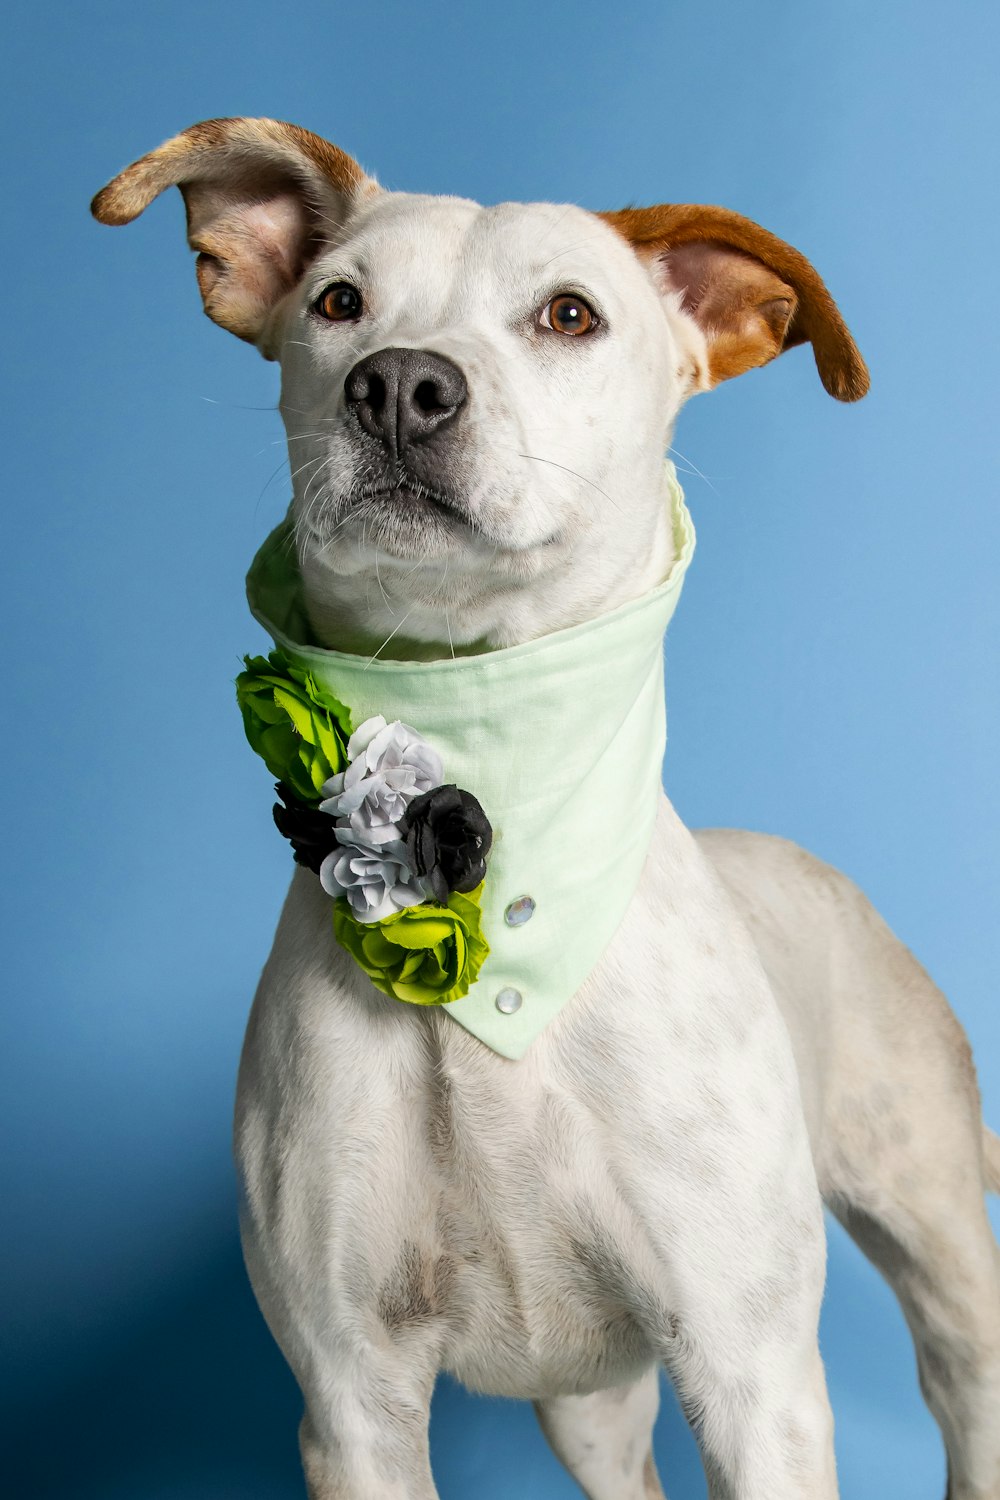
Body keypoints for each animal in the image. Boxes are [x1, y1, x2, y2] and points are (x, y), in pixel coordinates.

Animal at [93, 120, 1000, 1500]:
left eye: (570, 314)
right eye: (338, 304)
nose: (398, 385)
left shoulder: (755, 1379)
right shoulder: (352, 1401)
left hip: (942, 1255)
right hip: (591, 1400)